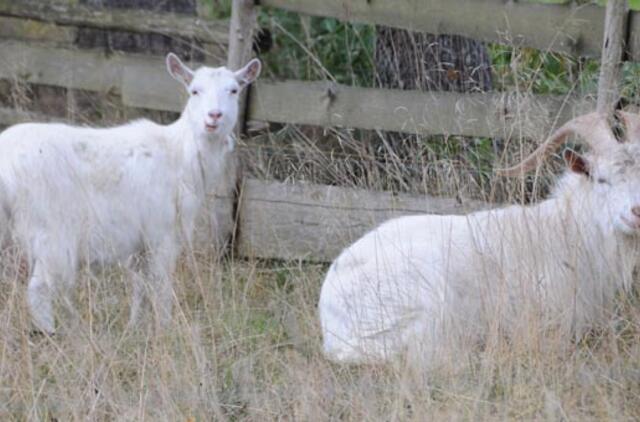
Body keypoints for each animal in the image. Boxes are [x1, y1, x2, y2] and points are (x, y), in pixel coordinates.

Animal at [0, 52, 262, 332]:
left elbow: (140, 288)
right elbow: (161, 287)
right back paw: (51, 334)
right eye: (194, 90)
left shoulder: (139, 244)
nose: (214, 116)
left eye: (234, 90)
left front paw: (135, 328)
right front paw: (165, 330)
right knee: (39, 289)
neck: (179, 154)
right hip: (53, 231)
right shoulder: (162, 234)